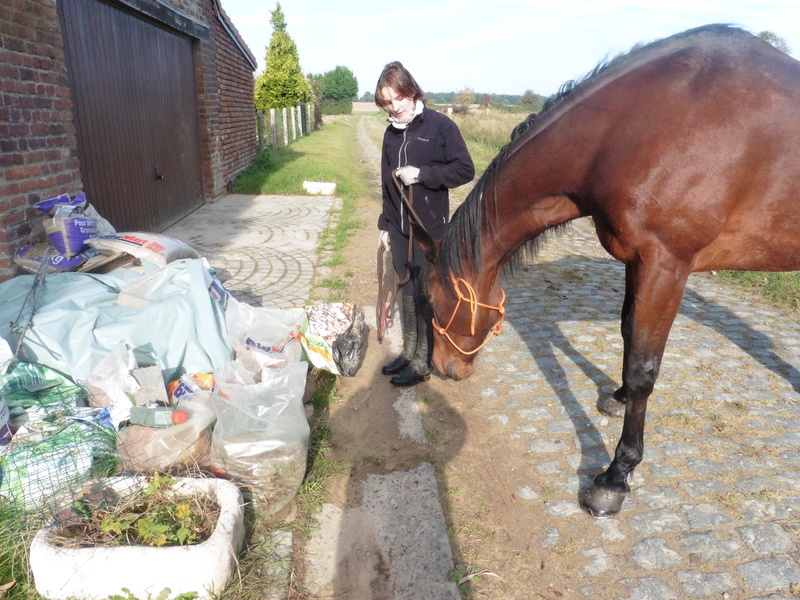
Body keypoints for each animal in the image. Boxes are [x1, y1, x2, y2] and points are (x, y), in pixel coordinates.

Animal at [412, 25, 800, 516]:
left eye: (433, 298)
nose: (444, 369)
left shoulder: (665, 264)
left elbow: (643, 369)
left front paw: (616, 476)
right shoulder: (638, 261)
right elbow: (628, 332)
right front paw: (616, 400)